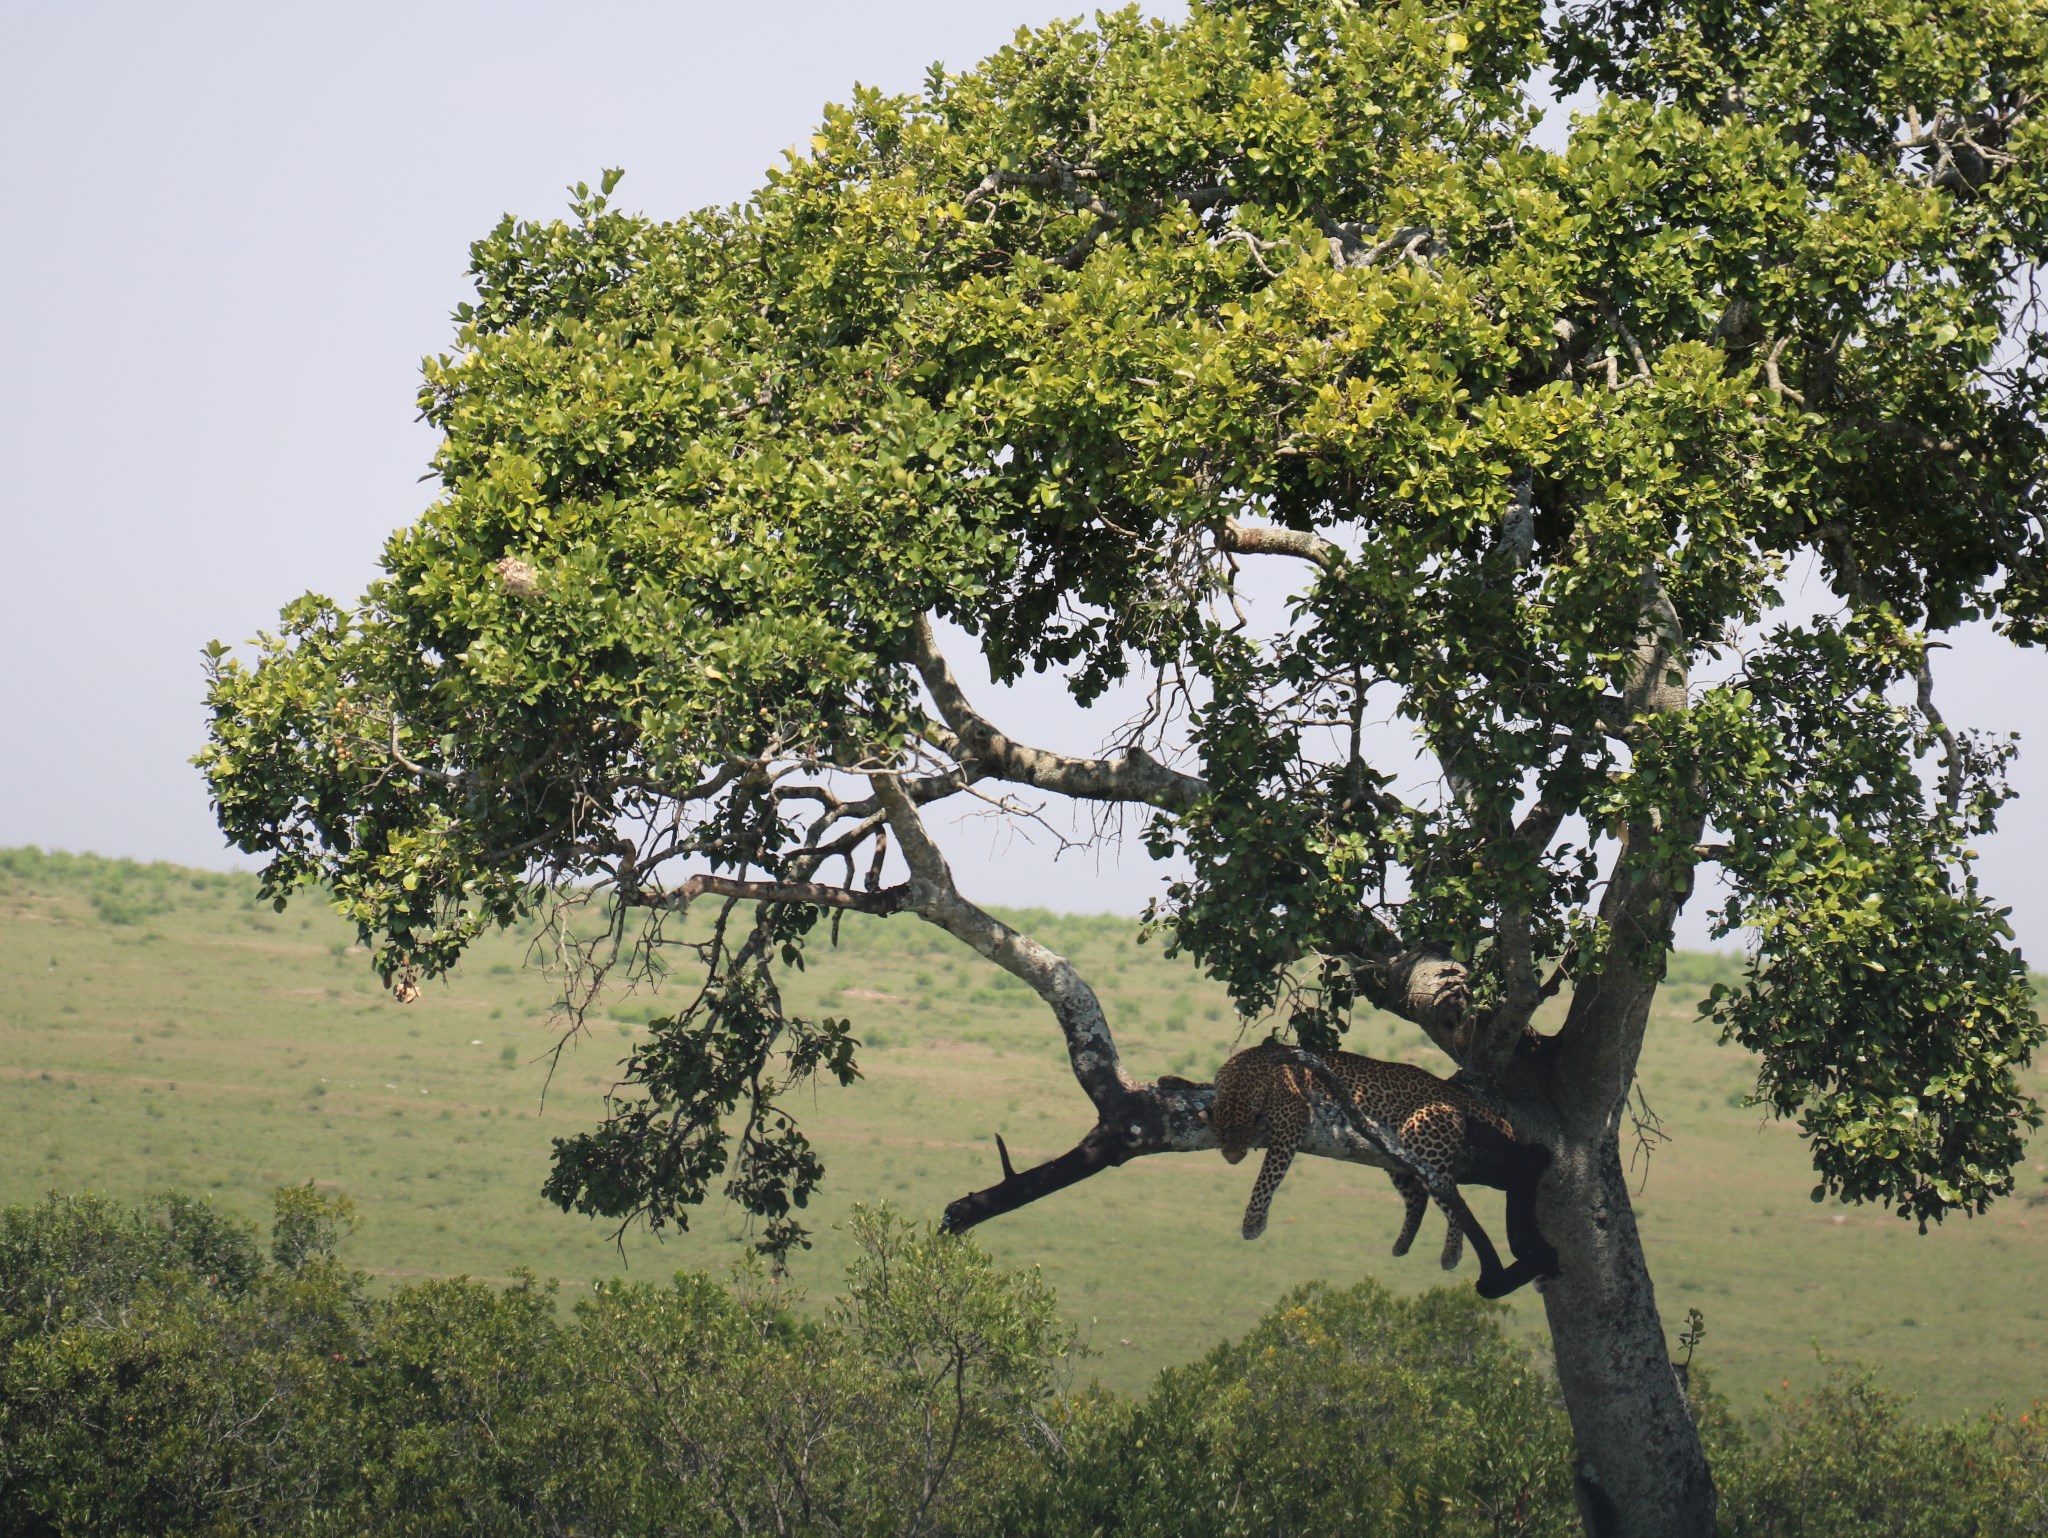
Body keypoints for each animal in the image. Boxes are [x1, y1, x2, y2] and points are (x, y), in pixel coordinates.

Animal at [1212, 1036, 1548, 1302]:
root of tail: (1455, 1092)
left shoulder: (1291, 1118)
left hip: (1423, 1131)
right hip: (1393, 1149)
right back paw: (1403, 1243)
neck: (1241, 1079)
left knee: (1449, 1195)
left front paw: (1252, 1221)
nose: (1232, 1158)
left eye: (1241, 1138)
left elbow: (1268, 1176)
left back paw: (1451, 1252)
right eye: (1221, 1140)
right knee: (1418, 1195)